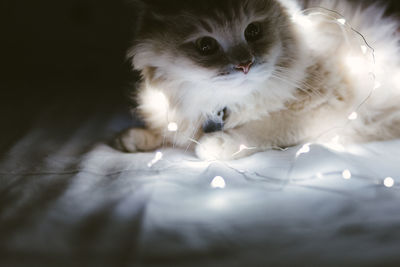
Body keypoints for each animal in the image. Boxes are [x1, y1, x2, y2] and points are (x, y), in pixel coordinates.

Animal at [115, 0, 400, 161]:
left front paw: (216, 145)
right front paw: (134, 139)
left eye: (253, 31)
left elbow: (266, 127)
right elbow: (168, 132)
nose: (245, 65)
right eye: (206, 46)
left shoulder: (330, 105)